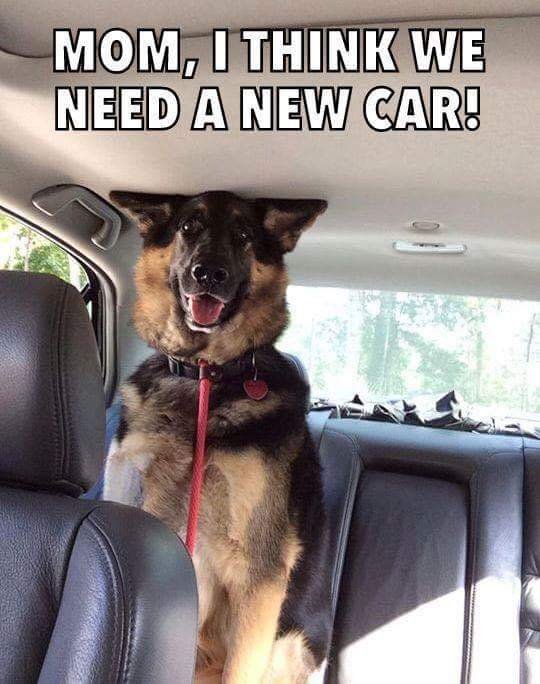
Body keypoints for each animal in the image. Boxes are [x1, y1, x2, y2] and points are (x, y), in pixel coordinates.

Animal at [101, 190, 330, 680]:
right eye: (189, 227)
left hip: (289, 645)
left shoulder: (259, 575)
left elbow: (240, 668)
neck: (205, 374)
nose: (209, 273)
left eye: (243, 235)